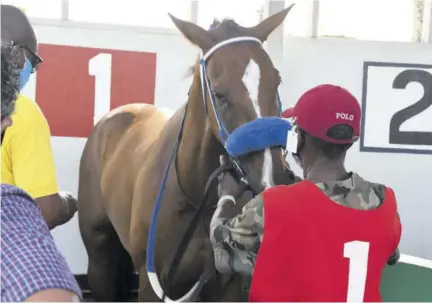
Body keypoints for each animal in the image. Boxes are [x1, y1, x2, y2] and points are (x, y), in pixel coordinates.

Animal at [77, 5, 296, 302]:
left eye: (277, 80)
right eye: (219, 93)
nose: (272, 176)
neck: (196, 200)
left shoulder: (227, 285)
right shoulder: (152, 284)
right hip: (100, 258)